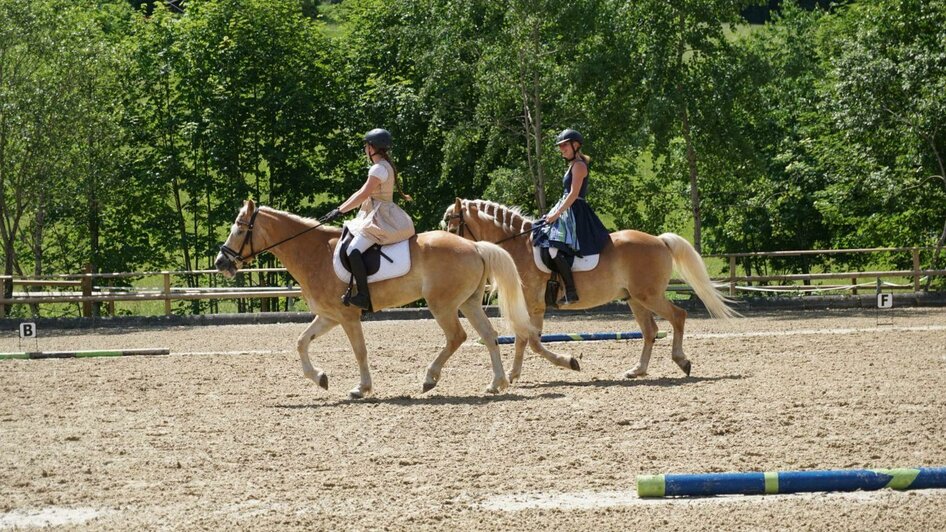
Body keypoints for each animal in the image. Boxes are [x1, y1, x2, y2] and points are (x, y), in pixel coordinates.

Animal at [215, 200, 580, 400]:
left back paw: (430, 378)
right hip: (468, 302)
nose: (221, 263)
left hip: (442, 305)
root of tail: (474, 245)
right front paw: (319, 378)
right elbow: (301, 342)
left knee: (457, 336)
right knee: (488, 336)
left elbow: (359, 351)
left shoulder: (347, 317)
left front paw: (361, 388)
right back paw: (496, 383)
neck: (313, 252)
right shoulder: (329, 316)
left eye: (240, 228)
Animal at [442, 197, 736, 380]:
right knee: (650, 331)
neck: (519, 247)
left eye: (453, 227)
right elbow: (525, 339)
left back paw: (682, 361)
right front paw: (515, 374)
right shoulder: (531, 306)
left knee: (677, 316)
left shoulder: (534, 305)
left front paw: (568, 362)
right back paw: (637, 370)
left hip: (649, 295)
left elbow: (532, 341)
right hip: (635, 299)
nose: (455, 249)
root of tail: (659, 240)